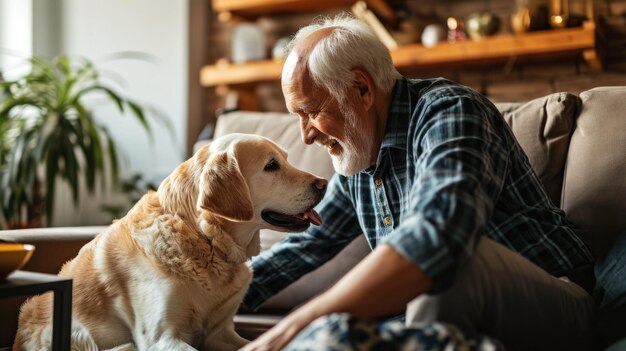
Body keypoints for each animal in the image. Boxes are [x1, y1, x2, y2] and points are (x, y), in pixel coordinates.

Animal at [14, 133, 326, 350]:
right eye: (271, 166)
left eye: (286, 159)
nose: (324, 183)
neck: (205, 241)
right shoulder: (161, 336)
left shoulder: (220, 332)